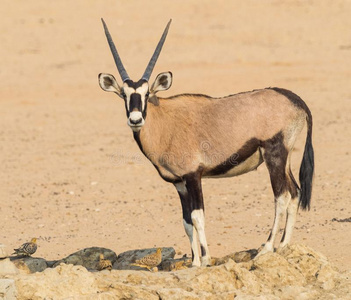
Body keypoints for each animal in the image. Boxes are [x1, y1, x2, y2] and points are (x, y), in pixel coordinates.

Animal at [97, 19, 314, 268]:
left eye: (146, 93)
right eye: (124, 95)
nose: (135, 119)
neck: (165, 122)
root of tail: (294, 99)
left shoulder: (193, 175)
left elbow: (197, 217)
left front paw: (206, 259)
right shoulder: (179, 183)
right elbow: (186, 222)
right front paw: (194, 262)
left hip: (275, 155)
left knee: (282, 197)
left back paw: (267, 248)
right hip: (285, 158)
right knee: (295, 191)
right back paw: (284, 246)